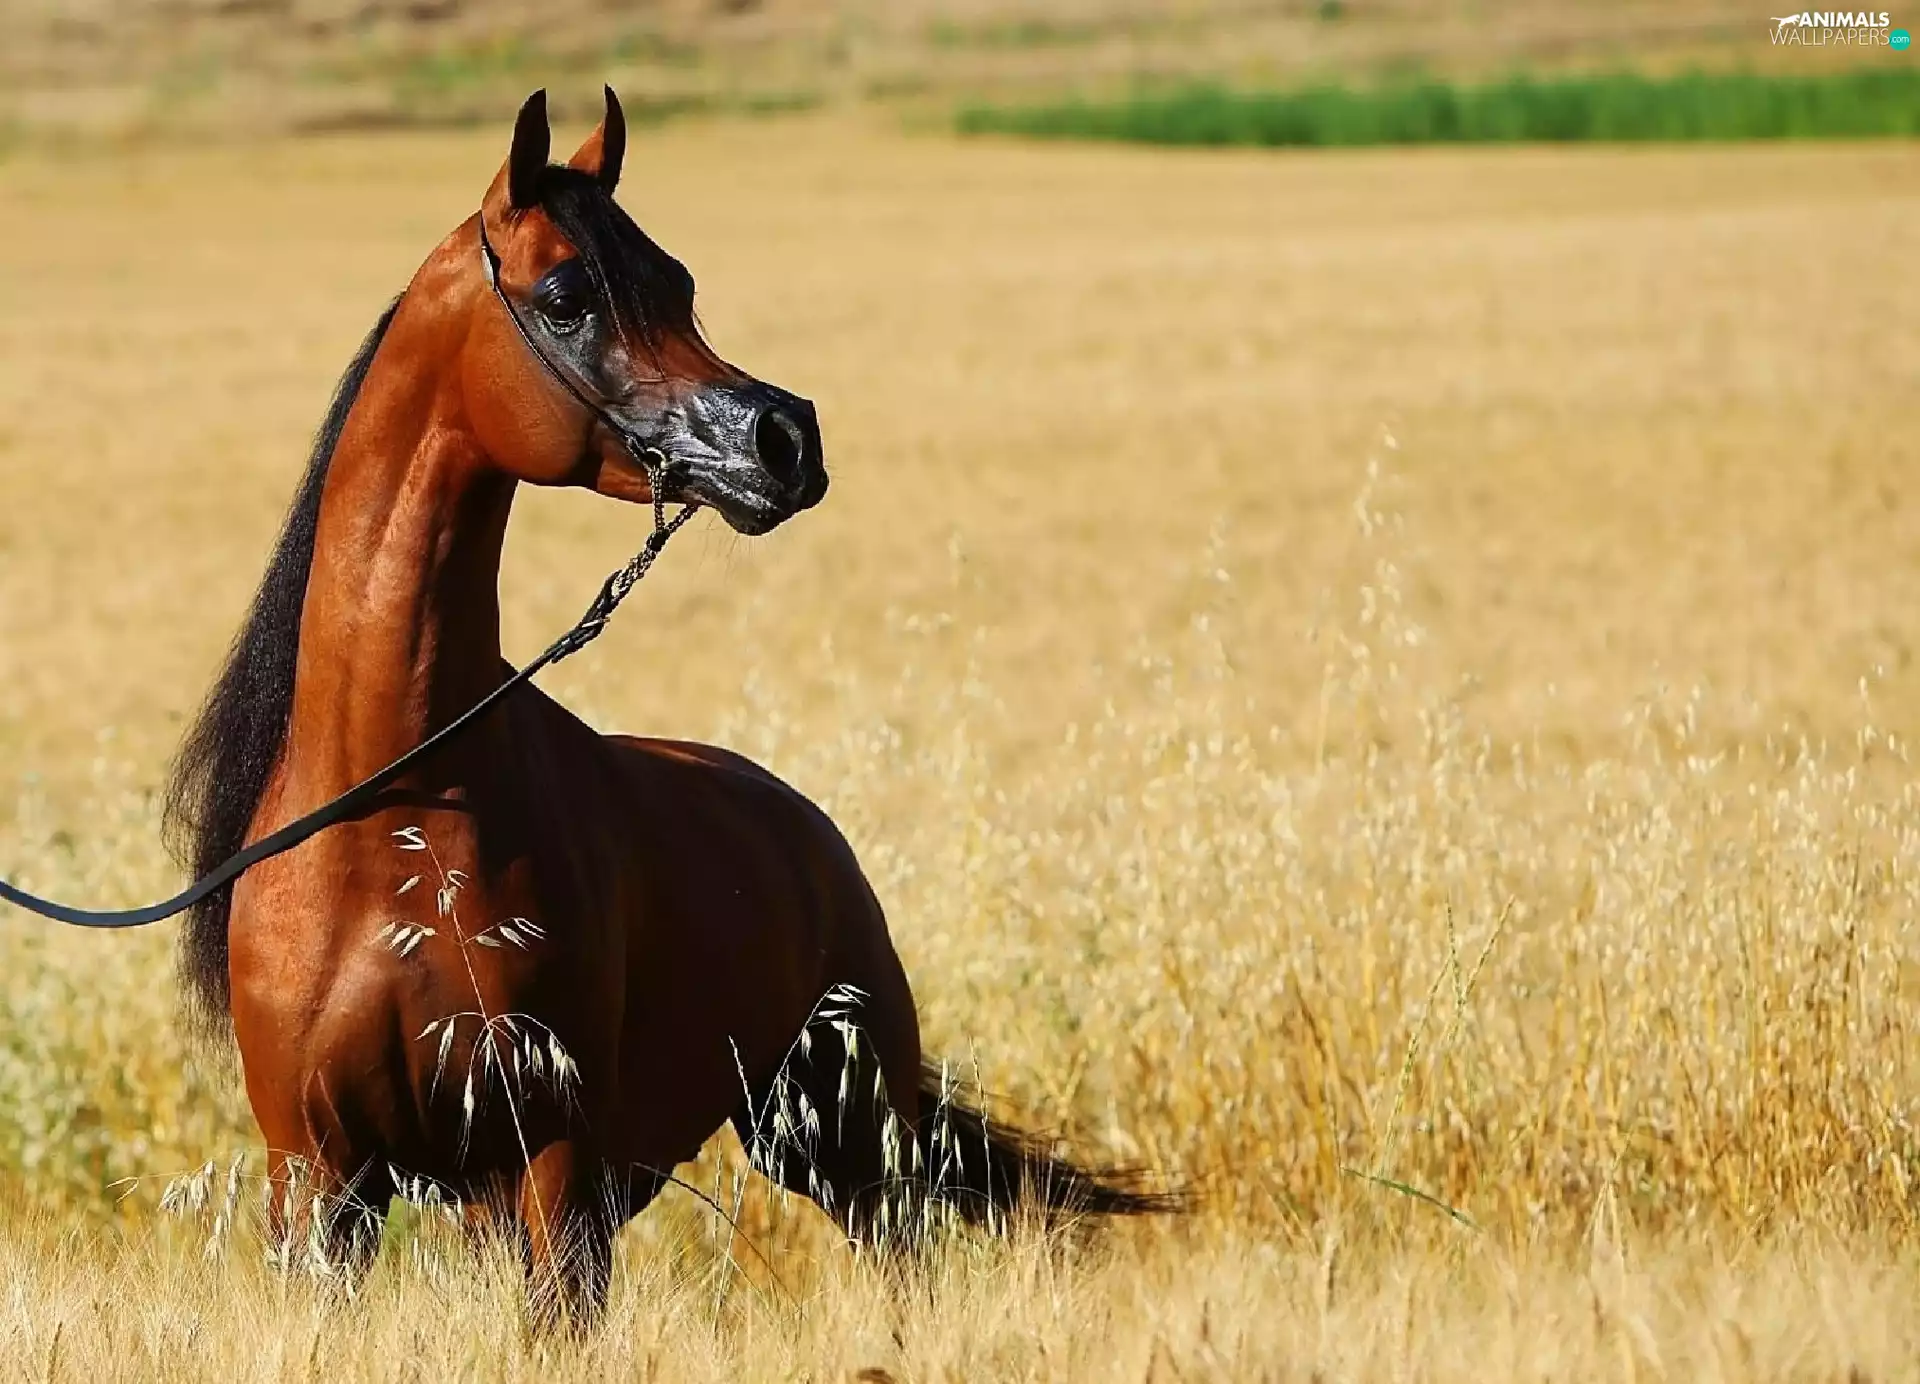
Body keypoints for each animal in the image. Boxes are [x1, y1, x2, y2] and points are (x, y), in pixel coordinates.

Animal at [157, 88, 1170, 1320]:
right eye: (566, 295)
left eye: (679, 282)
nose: (785, 440)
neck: (394, 804)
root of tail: (800, 821)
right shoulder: (320, 1179)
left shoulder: (550, 1166)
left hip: (840, 1140)